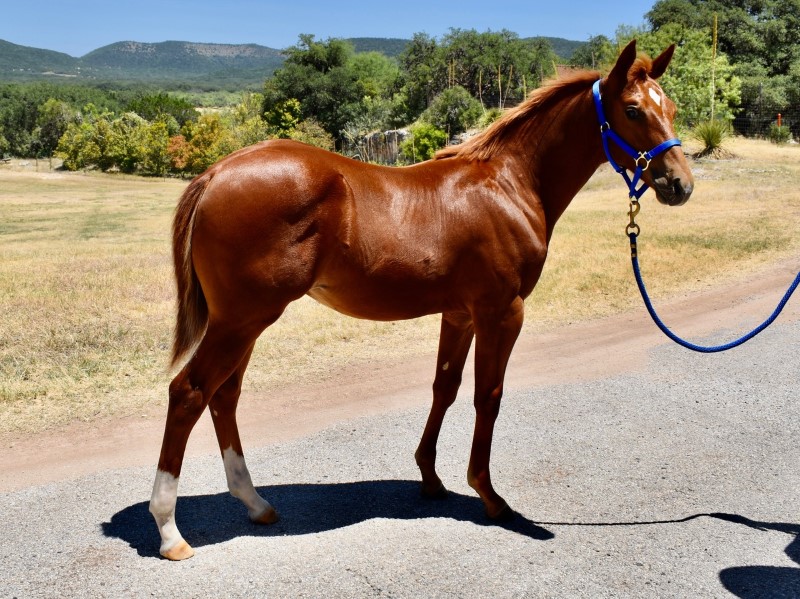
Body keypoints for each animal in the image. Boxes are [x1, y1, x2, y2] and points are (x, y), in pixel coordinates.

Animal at [150, 39, 692, 560]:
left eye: (672, 108)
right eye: (633, 110)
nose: (680, 184)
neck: (510, 184)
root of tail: (217, 172)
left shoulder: (459, 315)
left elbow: (444, 389)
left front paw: (430, 477)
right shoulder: (501, 313)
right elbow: (487, 396)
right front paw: (488, 494)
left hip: (243, 323)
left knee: (224, 397)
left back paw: (255, 503)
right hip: (241, 321)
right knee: (189, 393)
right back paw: (170, 530)